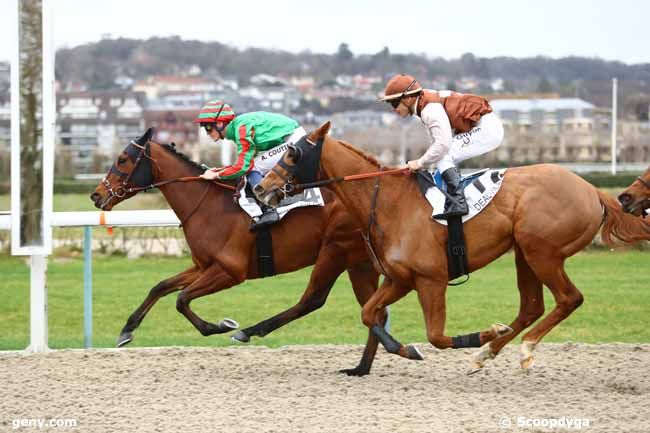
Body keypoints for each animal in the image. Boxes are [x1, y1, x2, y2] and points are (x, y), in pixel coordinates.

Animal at [91, 127, 384, 374]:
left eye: (123, 159)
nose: (95, 195)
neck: (206, 204)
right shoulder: (203, 266)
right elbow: (161, 287)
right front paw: (127, 331)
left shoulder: (230, 271)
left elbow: (182, 299)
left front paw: (219, 326)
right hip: (360, 261)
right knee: (375, 310)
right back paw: (361, 368)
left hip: (336, 250)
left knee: (313, 299)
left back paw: (248, 331)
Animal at [254, 121, 648, 372]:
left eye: (291, 155)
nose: (260, 188)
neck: (388, 201)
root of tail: (593, 190)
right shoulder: (400, 279)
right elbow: (369, 313)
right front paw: (406, 349)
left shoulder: (431, 279)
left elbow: (437, 336)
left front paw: (481, 334)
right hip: (525, 252)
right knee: (532, 306)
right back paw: (489, 352)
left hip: (543, 251)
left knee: (568, 299)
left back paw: (520, 348)